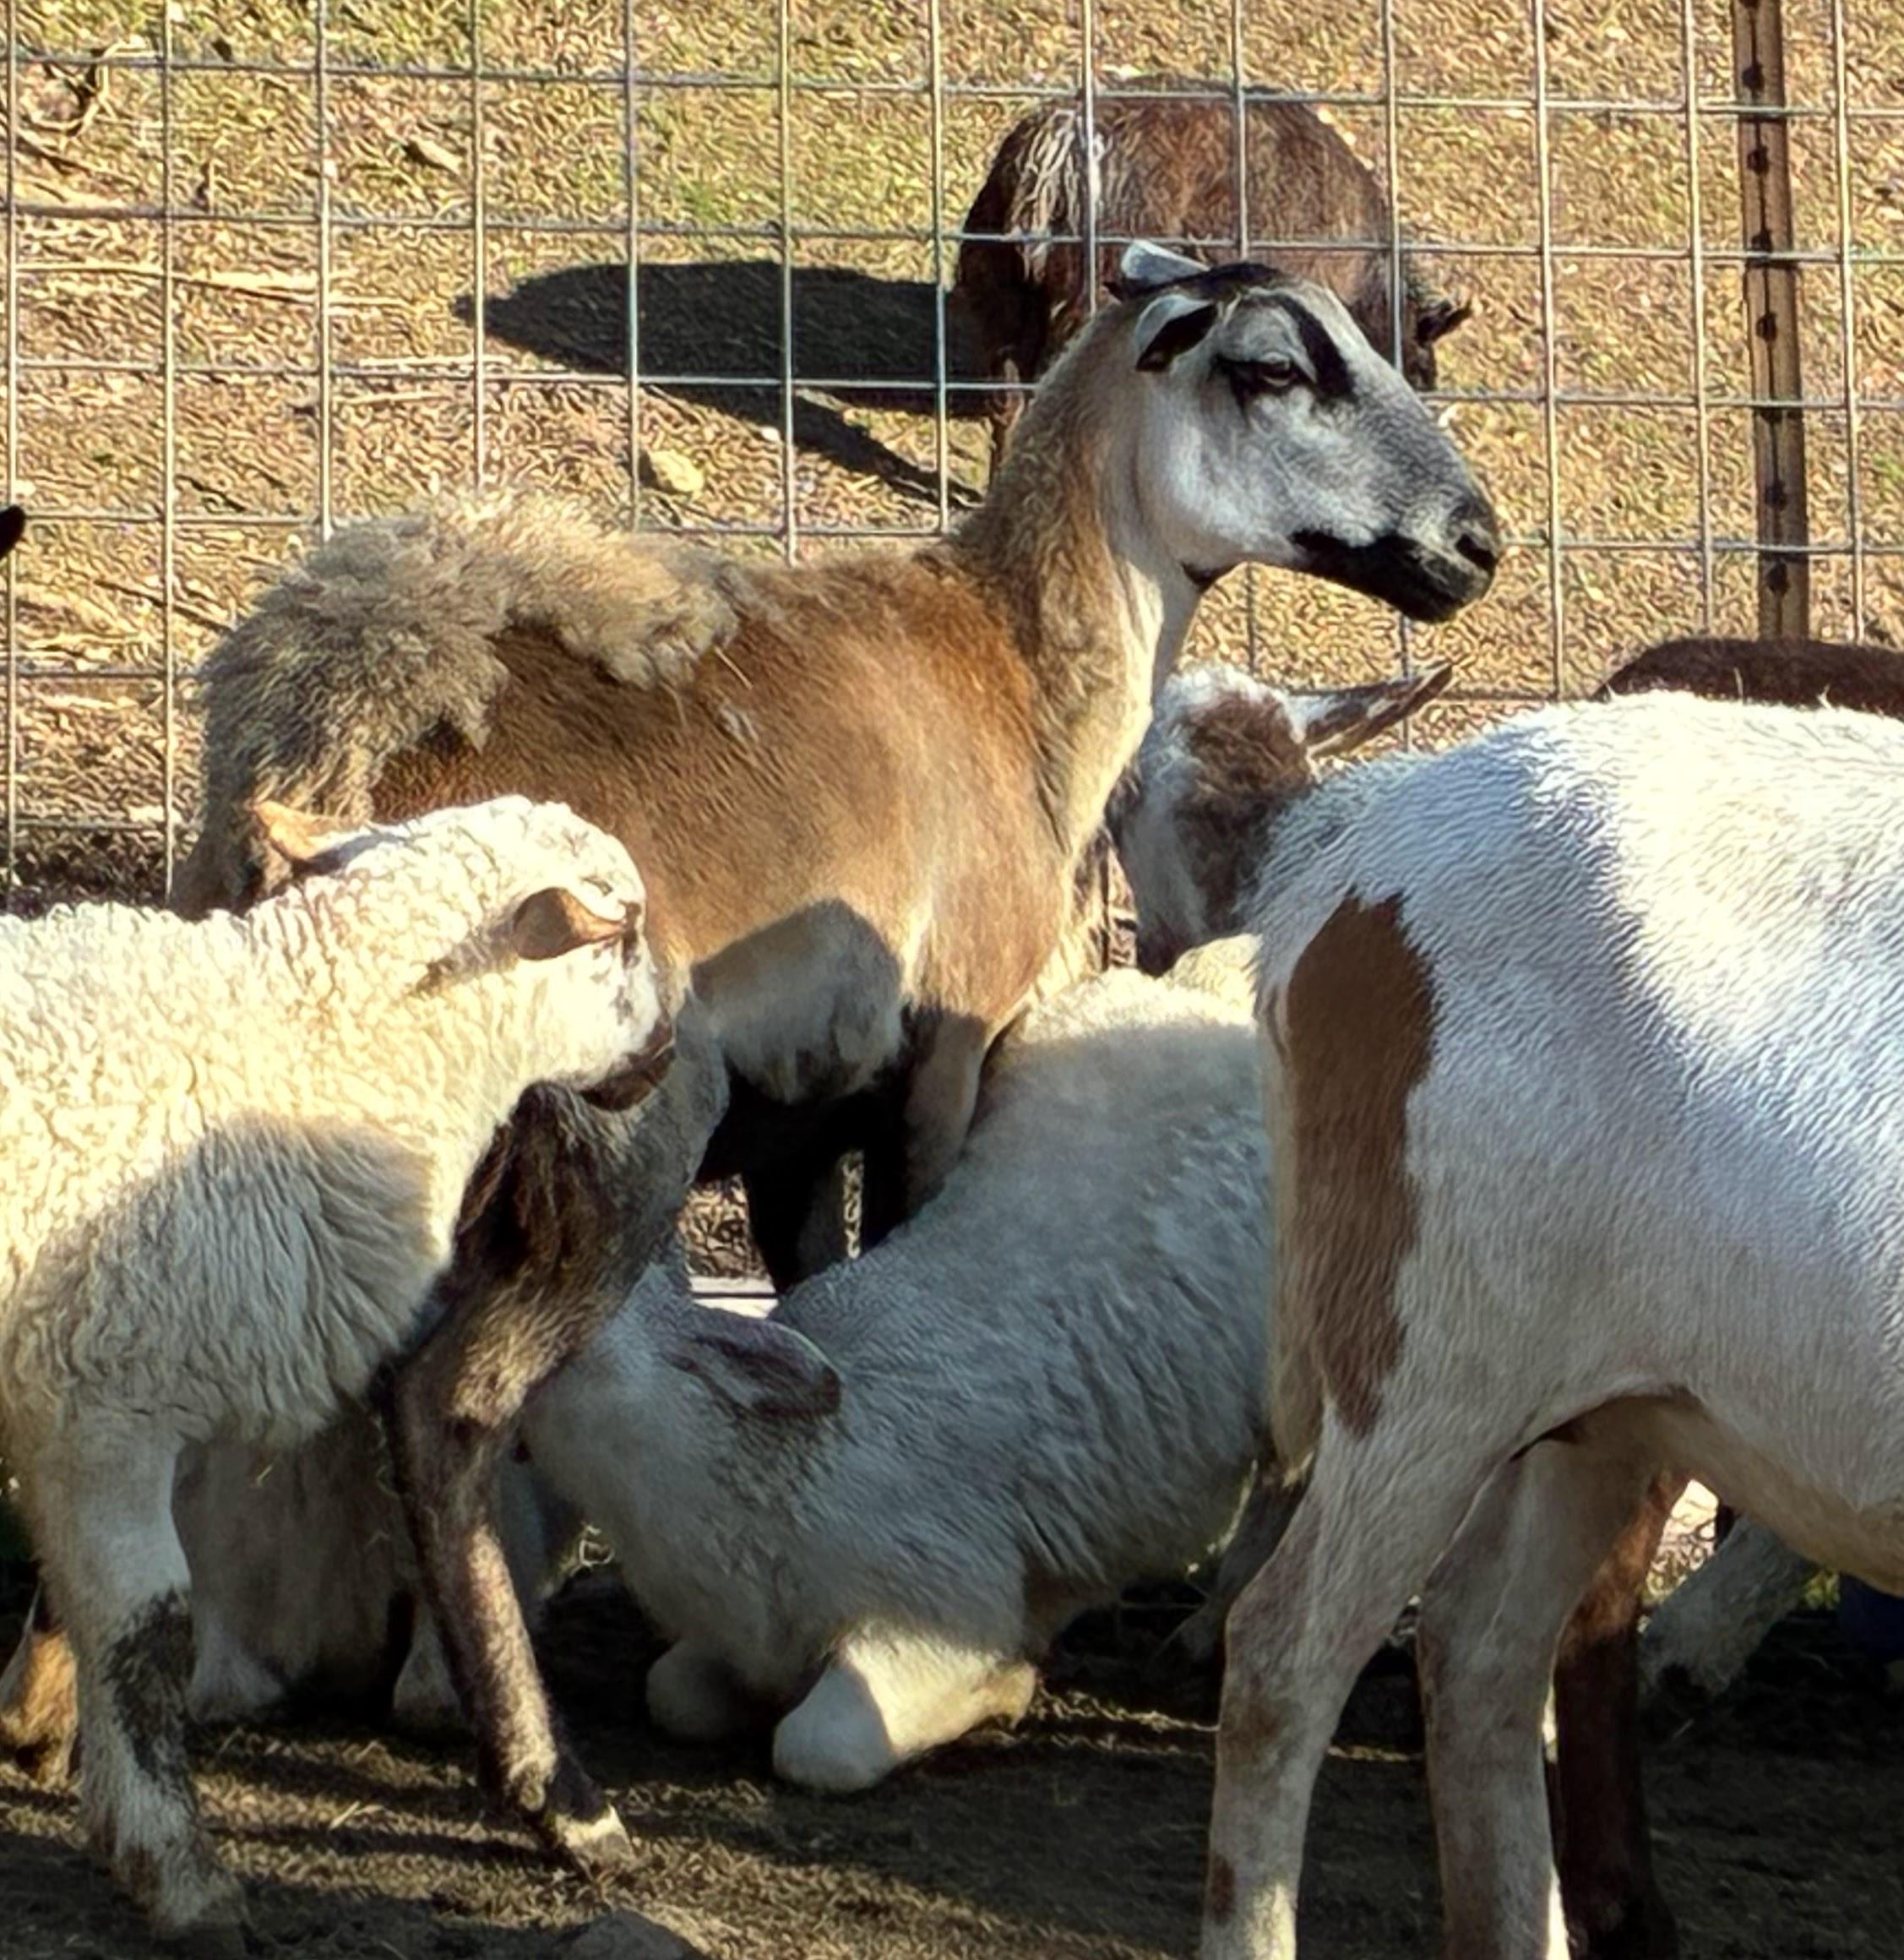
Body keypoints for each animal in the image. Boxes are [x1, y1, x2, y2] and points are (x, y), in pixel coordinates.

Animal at [0, 794, 673, 1951]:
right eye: (622, 931)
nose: (666, 1051)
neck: (319, 1046)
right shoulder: (104, 1401)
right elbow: (144, 1625)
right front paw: (179, 1876)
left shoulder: (62, 1413)